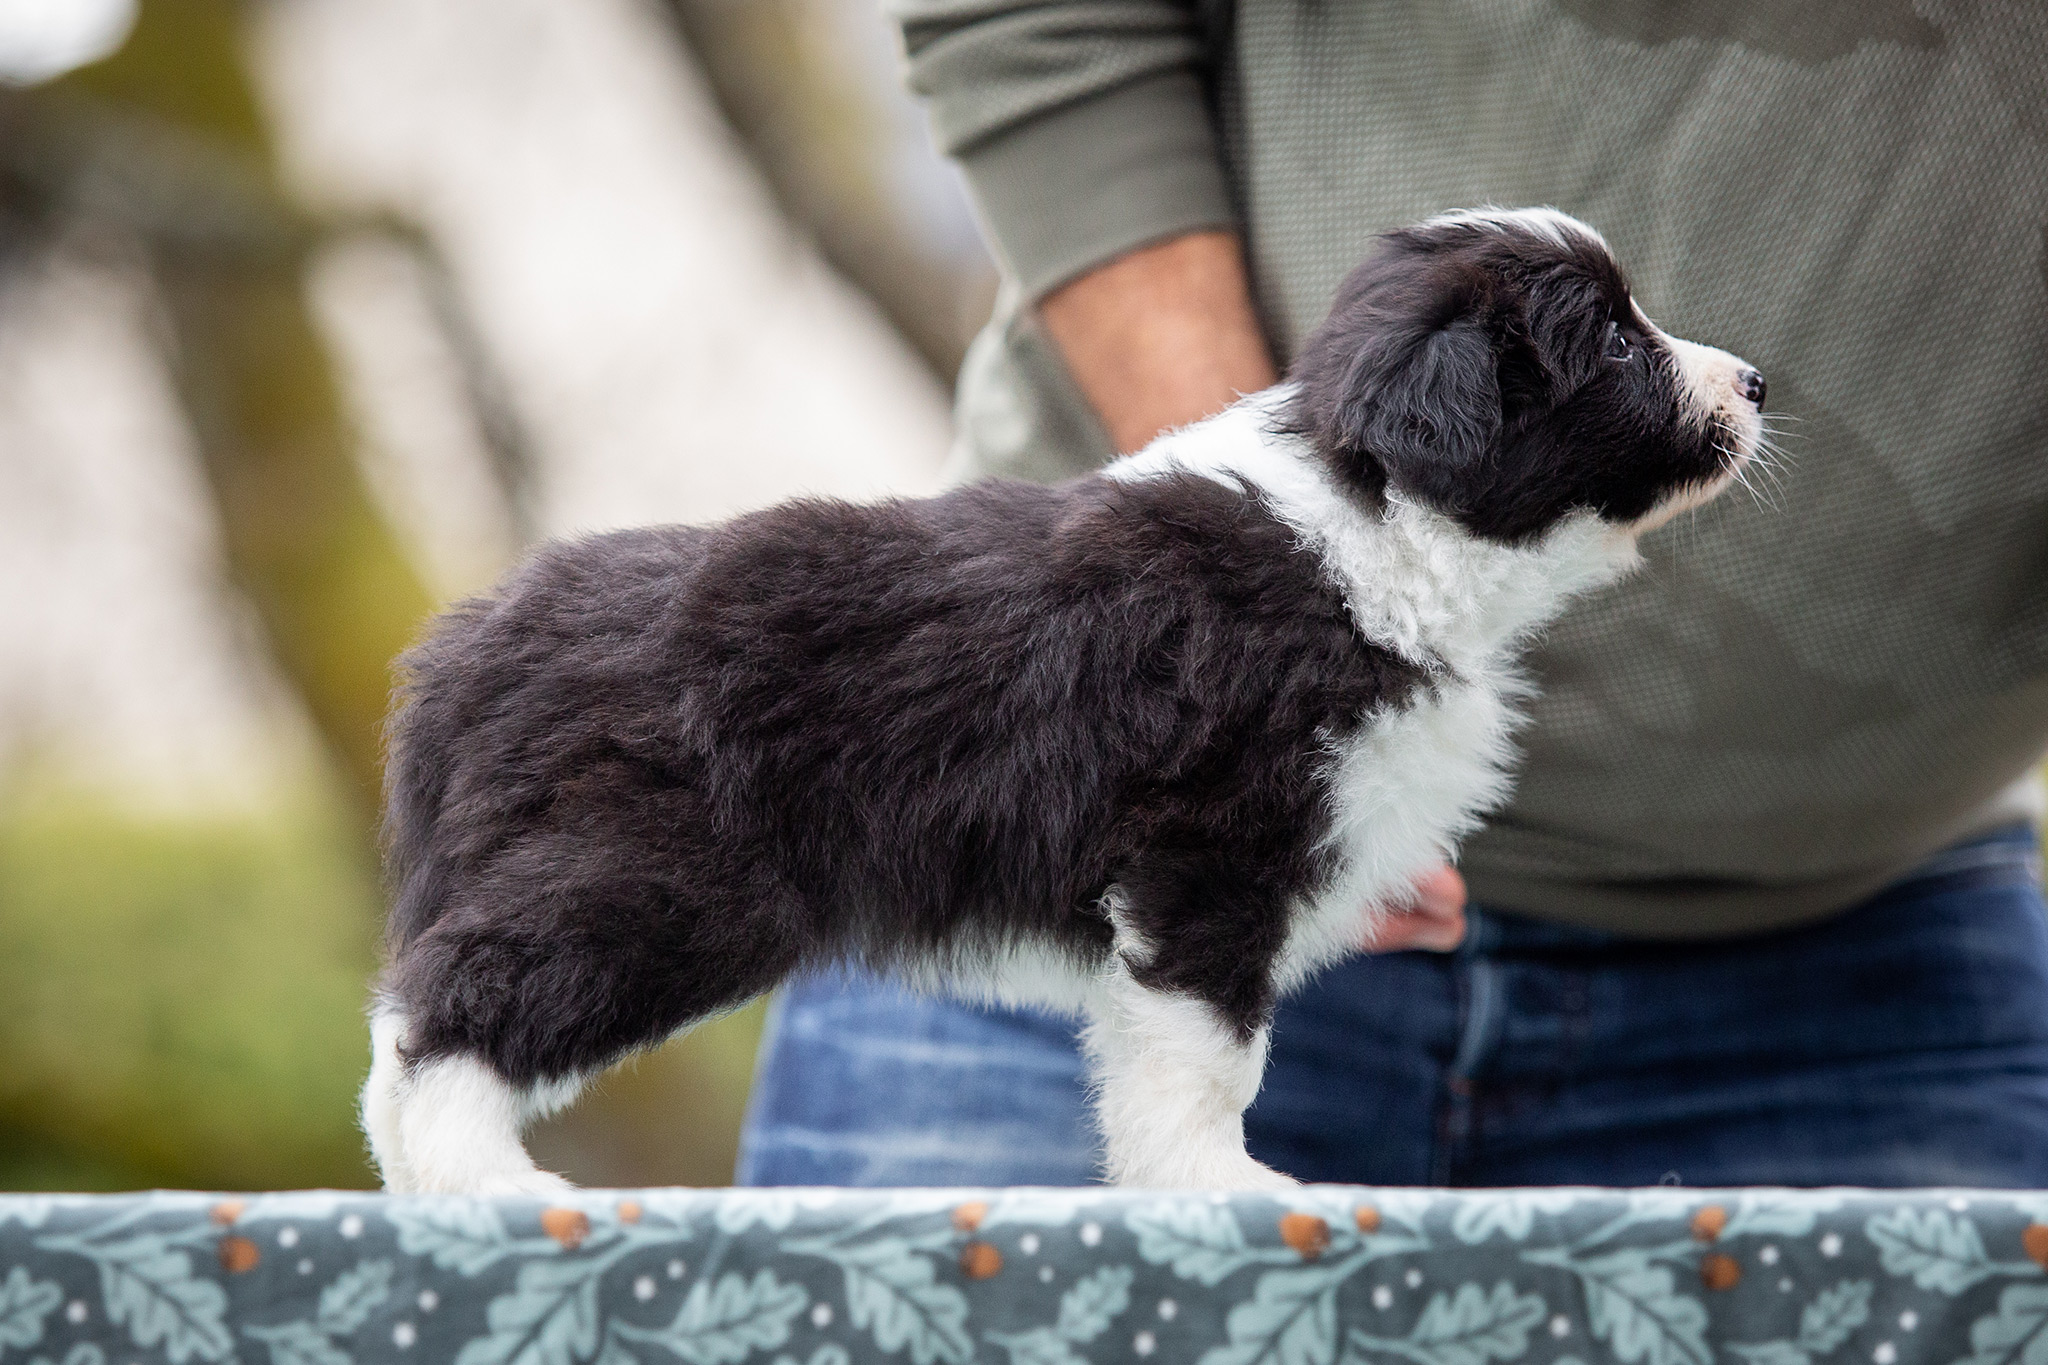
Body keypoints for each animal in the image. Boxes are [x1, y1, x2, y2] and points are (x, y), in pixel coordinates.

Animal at [364, 208, 1761, 1186]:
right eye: (1615, 339)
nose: (1753, 383)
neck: (1371, 526)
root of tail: (480, 641)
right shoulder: (1210, 855)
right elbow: (1204, 1055)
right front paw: (1227, 1192)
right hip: (648, 872)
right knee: (443, 1013)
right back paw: (486, 1187)